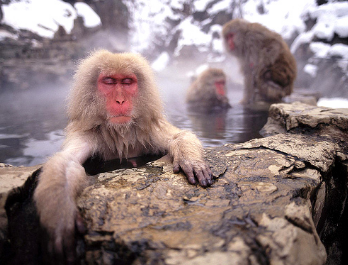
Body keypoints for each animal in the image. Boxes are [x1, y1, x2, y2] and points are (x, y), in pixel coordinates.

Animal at [33, 49, 212, 262]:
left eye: (127, 82)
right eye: (109, 81)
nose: (120, 100)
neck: (120, 133)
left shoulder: (149, 128)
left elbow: (179, 136)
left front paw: (191, 160)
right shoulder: (86, 134)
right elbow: (66, 162)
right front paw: (61, 215)